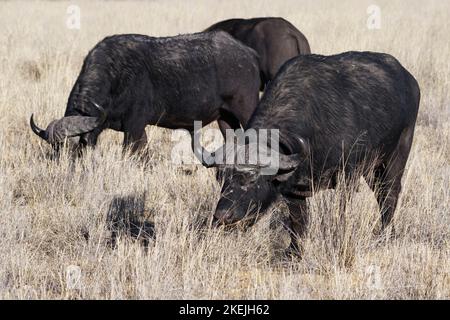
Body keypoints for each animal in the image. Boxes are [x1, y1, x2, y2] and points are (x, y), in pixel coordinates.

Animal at [29, 31, 260, 155]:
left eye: (75, 147)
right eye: (56, 149)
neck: (116, 76)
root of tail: (248, 53)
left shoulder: (134, 126)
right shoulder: (138, 130)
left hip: (246, 109)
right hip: (224, 118)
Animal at [202, 50, 420, 255]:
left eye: (252, 178)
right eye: (222, 178)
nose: (222, 215)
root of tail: (410, 80)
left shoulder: (347, 176)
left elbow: (341, 212)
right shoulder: (294, 189)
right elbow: (298, 221)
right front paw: (294, 252)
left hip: (395, 158)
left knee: (389, 195)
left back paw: (385, 235)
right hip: (372, 170)